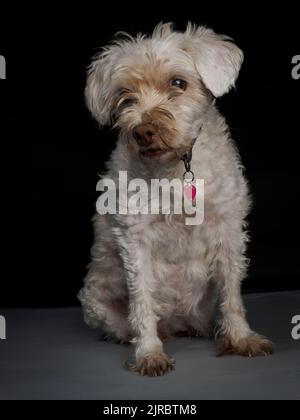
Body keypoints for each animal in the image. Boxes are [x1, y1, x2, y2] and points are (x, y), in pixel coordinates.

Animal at [78, 23, 274, 378]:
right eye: (125, 95)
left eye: (178, 83)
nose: (143, 131)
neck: (176, 167)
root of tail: (175, 322)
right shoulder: (135, 238)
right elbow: (141, 301)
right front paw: (149, 353)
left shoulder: (229, 230)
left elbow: (232, 295)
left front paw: (240, 339)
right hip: (97, 301)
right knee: (136, 321)